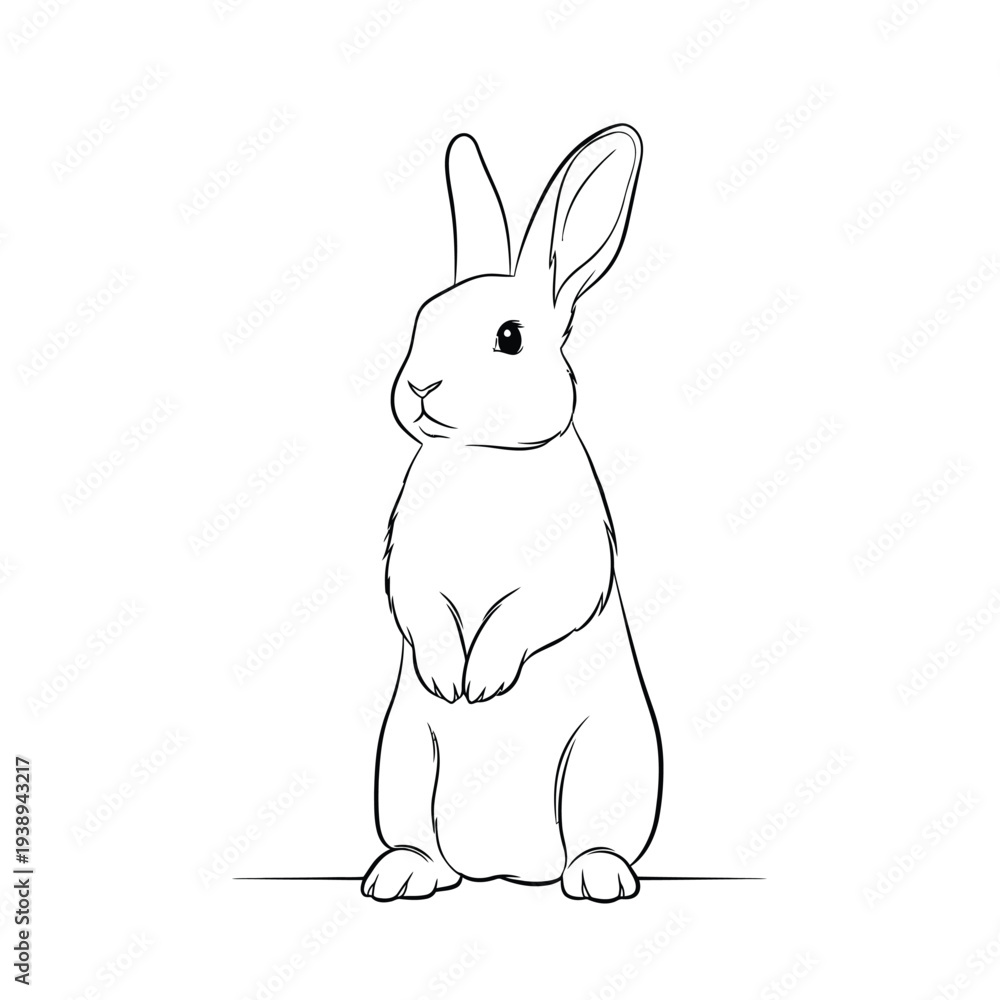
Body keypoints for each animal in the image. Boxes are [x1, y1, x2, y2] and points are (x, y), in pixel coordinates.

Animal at [362, 124, 663, 902]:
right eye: (422, 320)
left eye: (509, 337)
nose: (418, 388)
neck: (486, 455)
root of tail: (504, 867)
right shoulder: (410, 565)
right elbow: (421, 609)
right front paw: (449, 680)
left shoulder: (573, 566)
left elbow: (534, 609)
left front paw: (483, 682)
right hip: (406, 762)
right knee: (421, 841)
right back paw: (404, 874)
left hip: (605, 762)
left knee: (595, 839)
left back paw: (597, 877)